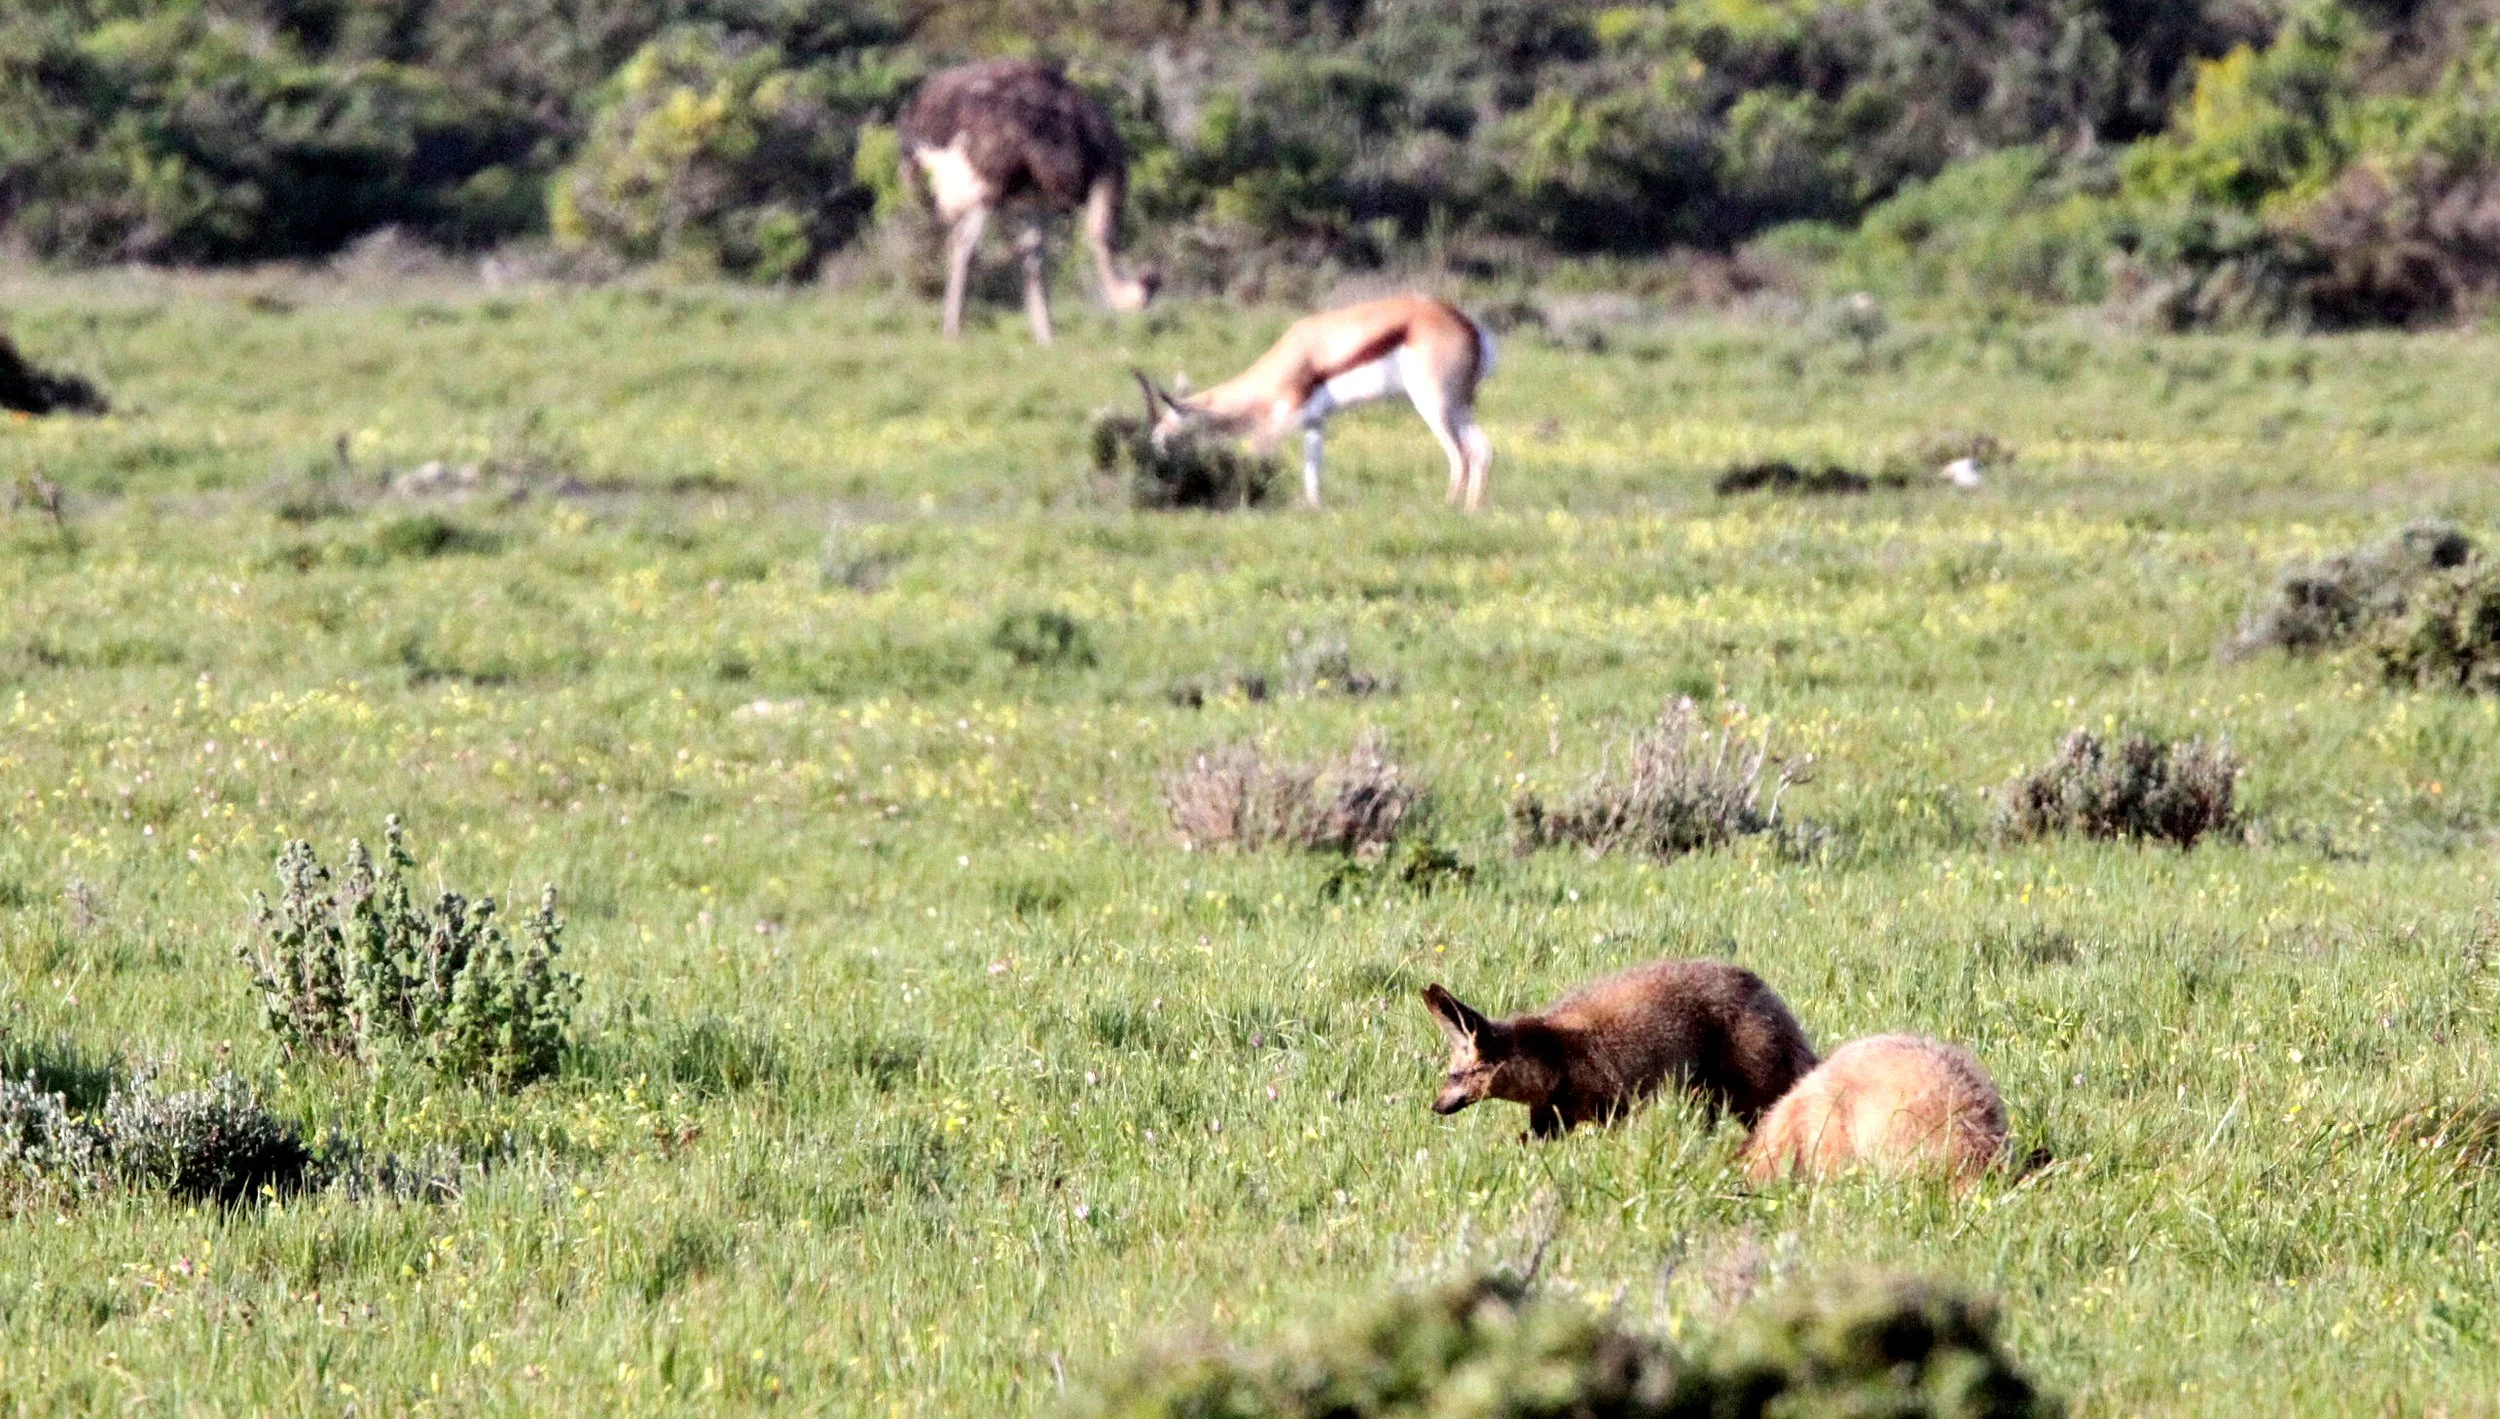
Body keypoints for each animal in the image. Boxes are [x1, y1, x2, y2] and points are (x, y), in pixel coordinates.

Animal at [1420, 959, 1818, 1140]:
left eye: (1454, 1076)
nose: (1434, 1107)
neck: (1554, 1059)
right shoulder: (1550, 1122)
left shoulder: (1613, 1112)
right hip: (1706, 1099)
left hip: (1751, 1095)